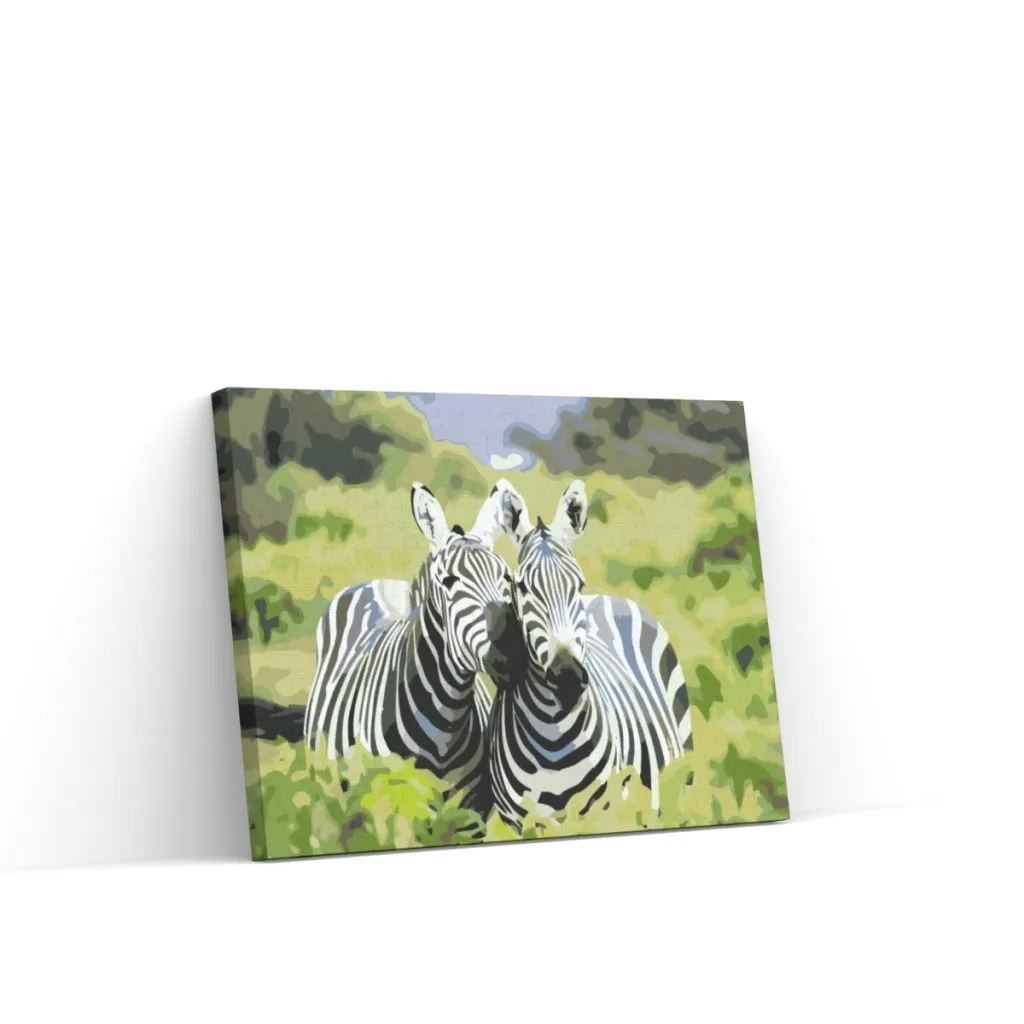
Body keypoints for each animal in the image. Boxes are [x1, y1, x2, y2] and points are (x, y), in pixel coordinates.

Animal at [303, 481, 526, 815]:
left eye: (507, 578)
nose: (513, 651)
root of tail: (379, 582)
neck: (446, 721)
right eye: (449, 581)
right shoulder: (389, 801)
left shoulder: (470, 812)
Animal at [488, 480, 692, 830]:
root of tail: (609, 598)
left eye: (578, 584)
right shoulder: (519, 822)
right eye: (522, 587)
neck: (554, 737)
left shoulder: (606, 813)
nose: (567, 676)